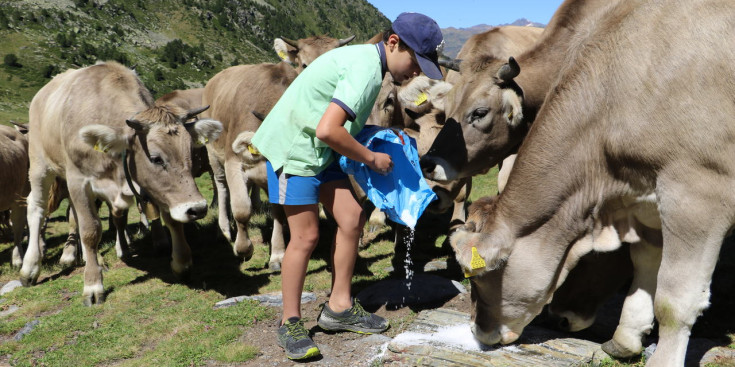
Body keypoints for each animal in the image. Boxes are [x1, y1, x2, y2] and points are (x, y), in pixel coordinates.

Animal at [23, 61, 224, 306]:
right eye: (156, 158)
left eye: (190, 152)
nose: (197, 208)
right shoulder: (78, 182)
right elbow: (90, 230)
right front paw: (92, 285)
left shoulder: (150, 186)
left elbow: (170, 220)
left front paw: (181, 263)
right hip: (40, 164)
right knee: (36, 207)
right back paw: (30, 268)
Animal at [204, 36, 354, 270]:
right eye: (305, 65)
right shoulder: (233, 162)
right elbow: (241, 208)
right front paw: (243, 248)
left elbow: (279, 212)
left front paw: (277, 253)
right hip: (213, 153)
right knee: (221, 186)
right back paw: (225, 230)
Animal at [446, 1, 732, 366]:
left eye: (480, 275)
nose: (477, 331)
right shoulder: (648, 204)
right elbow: (644, 267)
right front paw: (626, 338)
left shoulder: (695, 195)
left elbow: (674, 301)